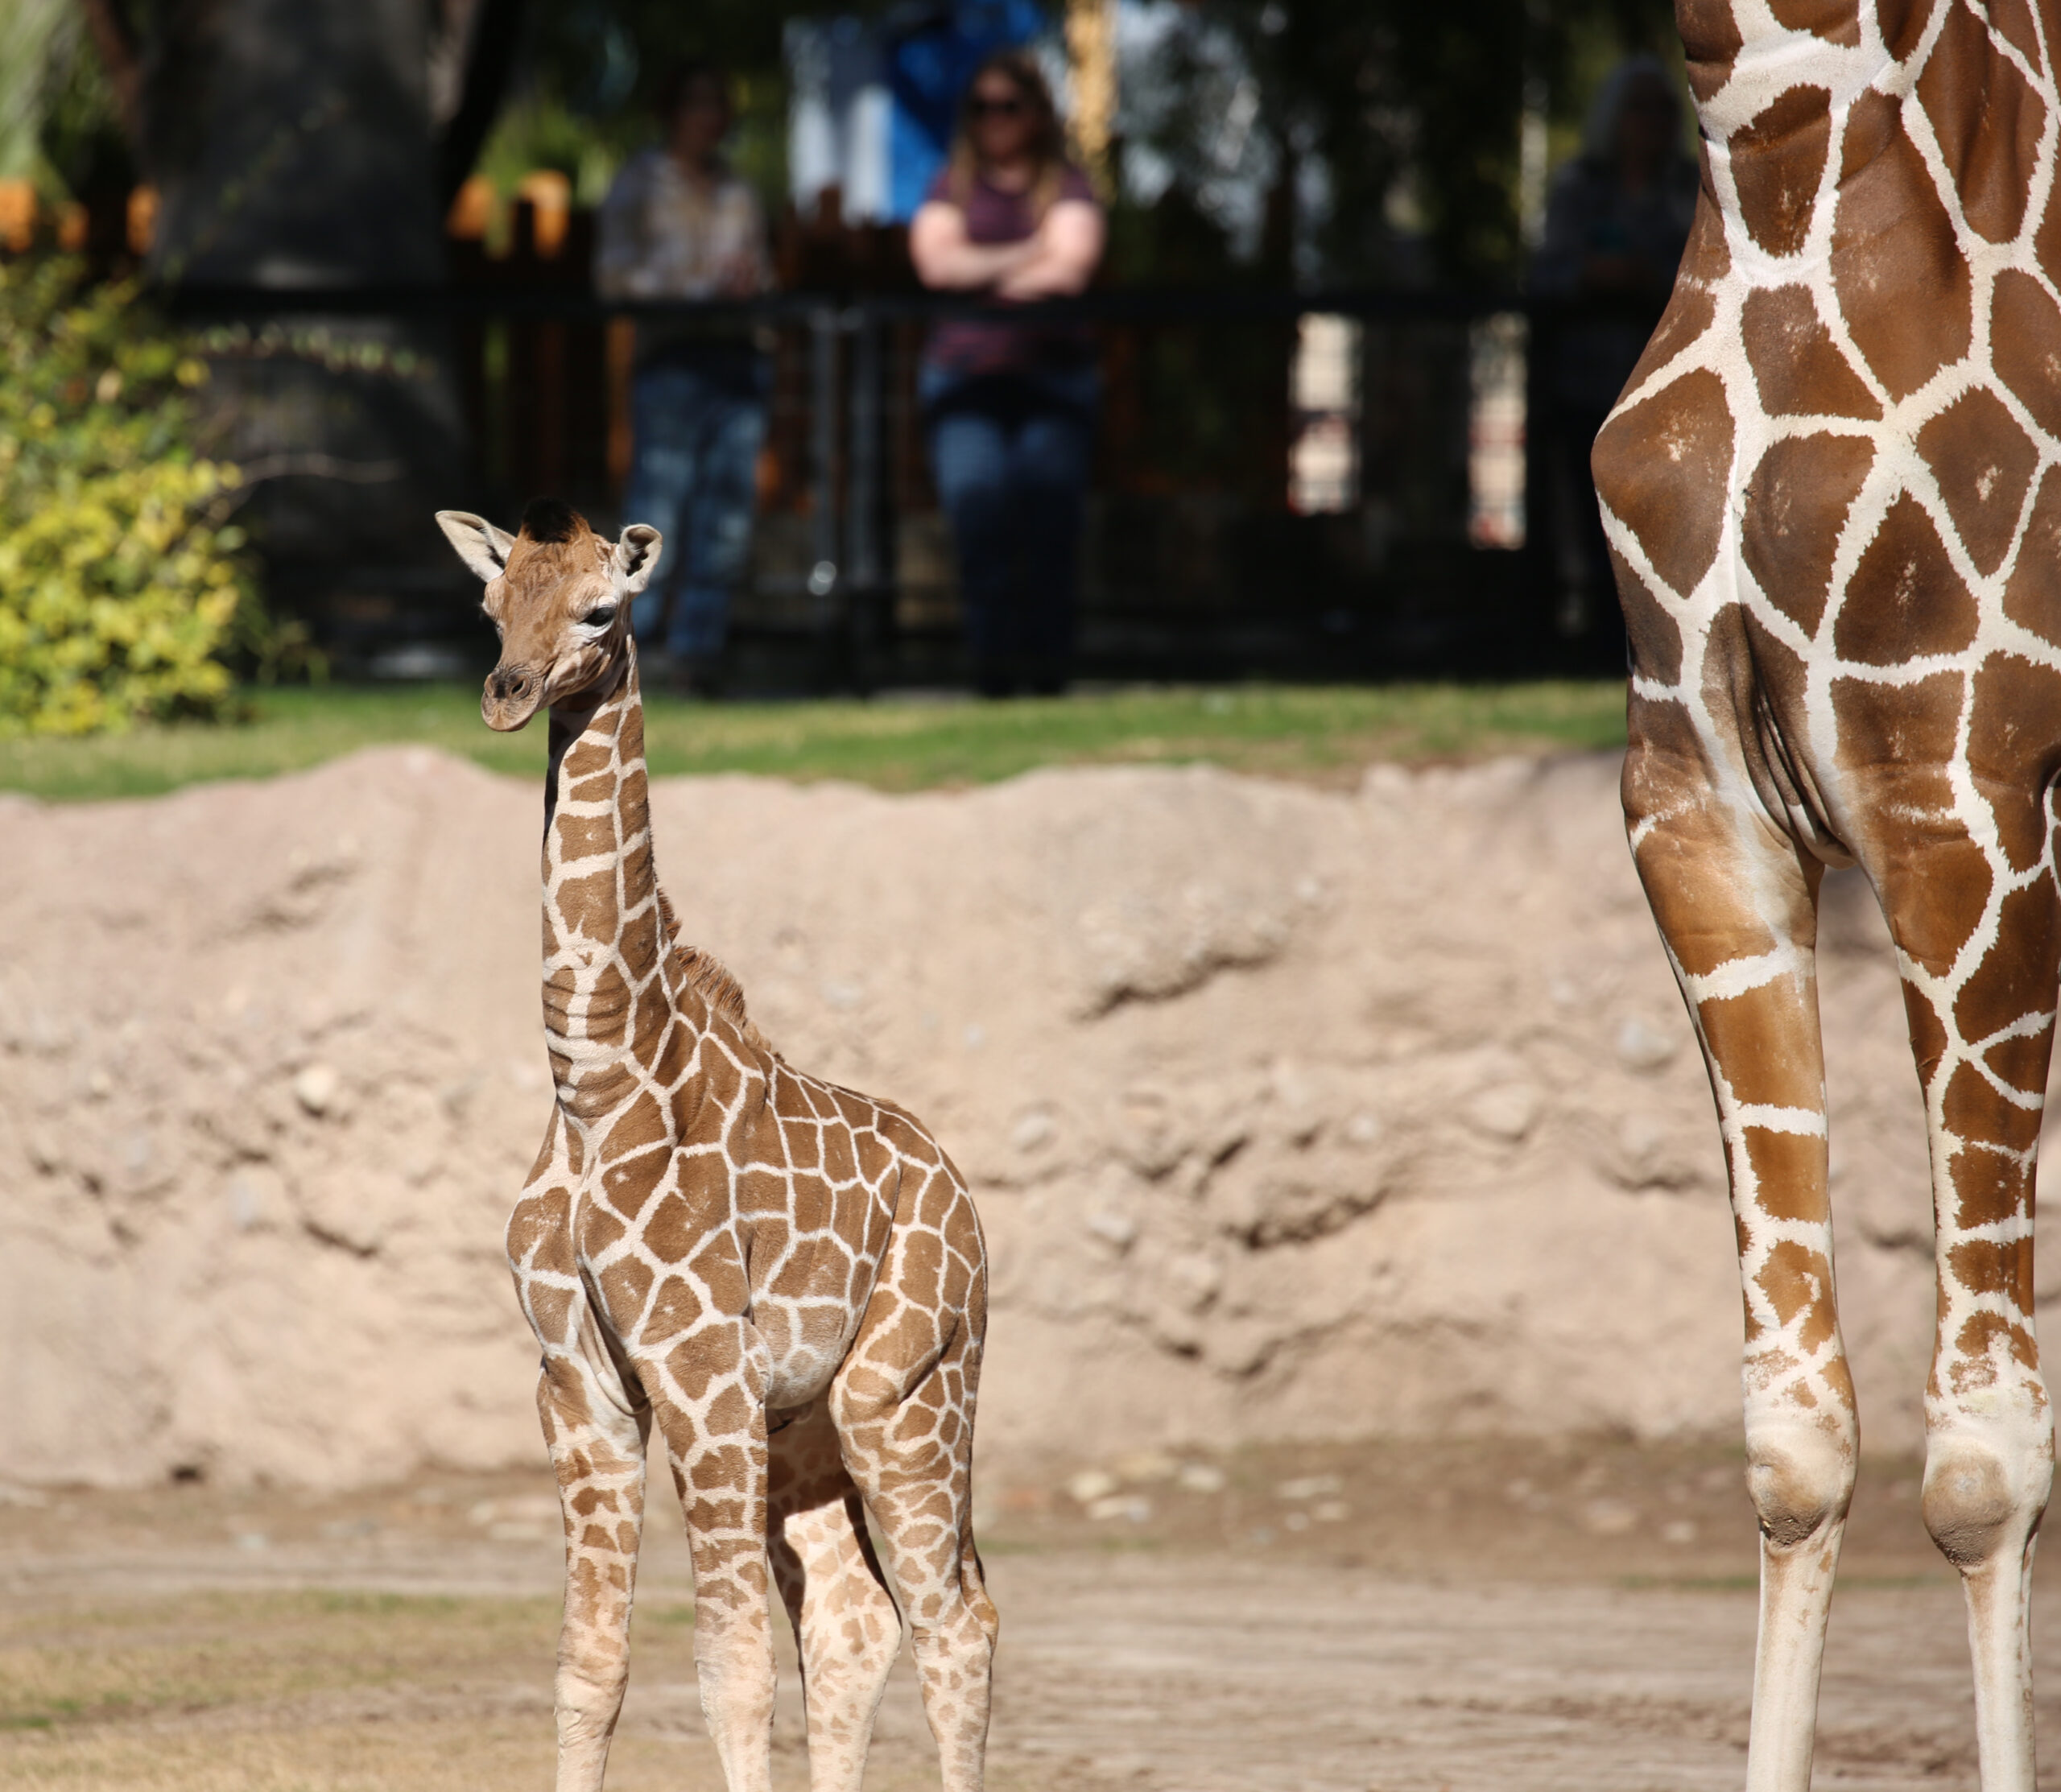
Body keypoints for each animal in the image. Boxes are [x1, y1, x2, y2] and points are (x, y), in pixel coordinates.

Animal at [431, 502, 993, 1792]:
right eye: (491, 604)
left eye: (600, 610)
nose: (506, 690)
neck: (595, 1081)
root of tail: (967, 1202)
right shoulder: (580, 1385)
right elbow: (591, 1666)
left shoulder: (700, 1374)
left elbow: (728, 1669)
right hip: (812, 1424)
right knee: (856, 1618)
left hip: (909, 1393)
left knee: (957, 1619)